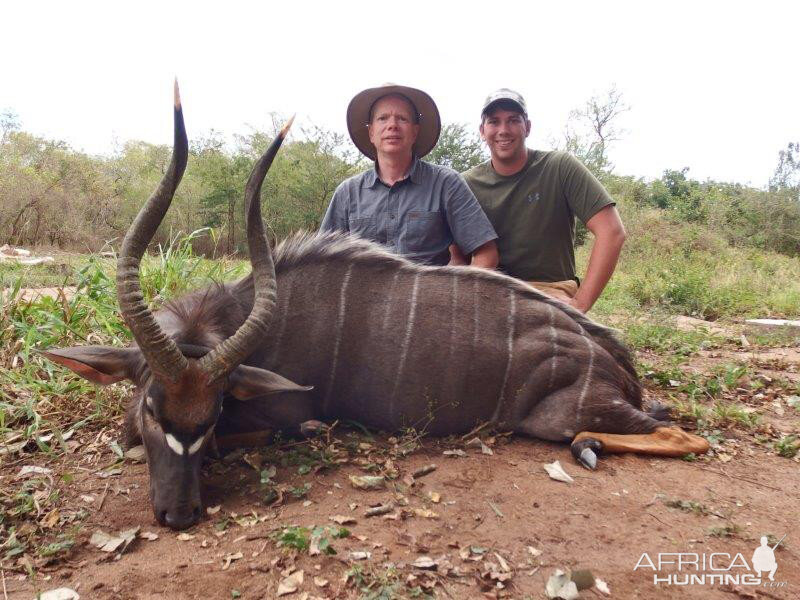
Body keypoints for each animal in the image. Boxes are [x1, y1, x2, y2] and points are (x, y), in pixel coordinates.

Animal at [42, 83, 708, 528]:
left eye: (213, 414)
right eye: (154, 408)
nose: (177, 514)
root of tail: (615, 360)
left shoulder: (280, 413)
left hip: (563, 417)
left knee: (682, 437)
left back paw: (593, 445)